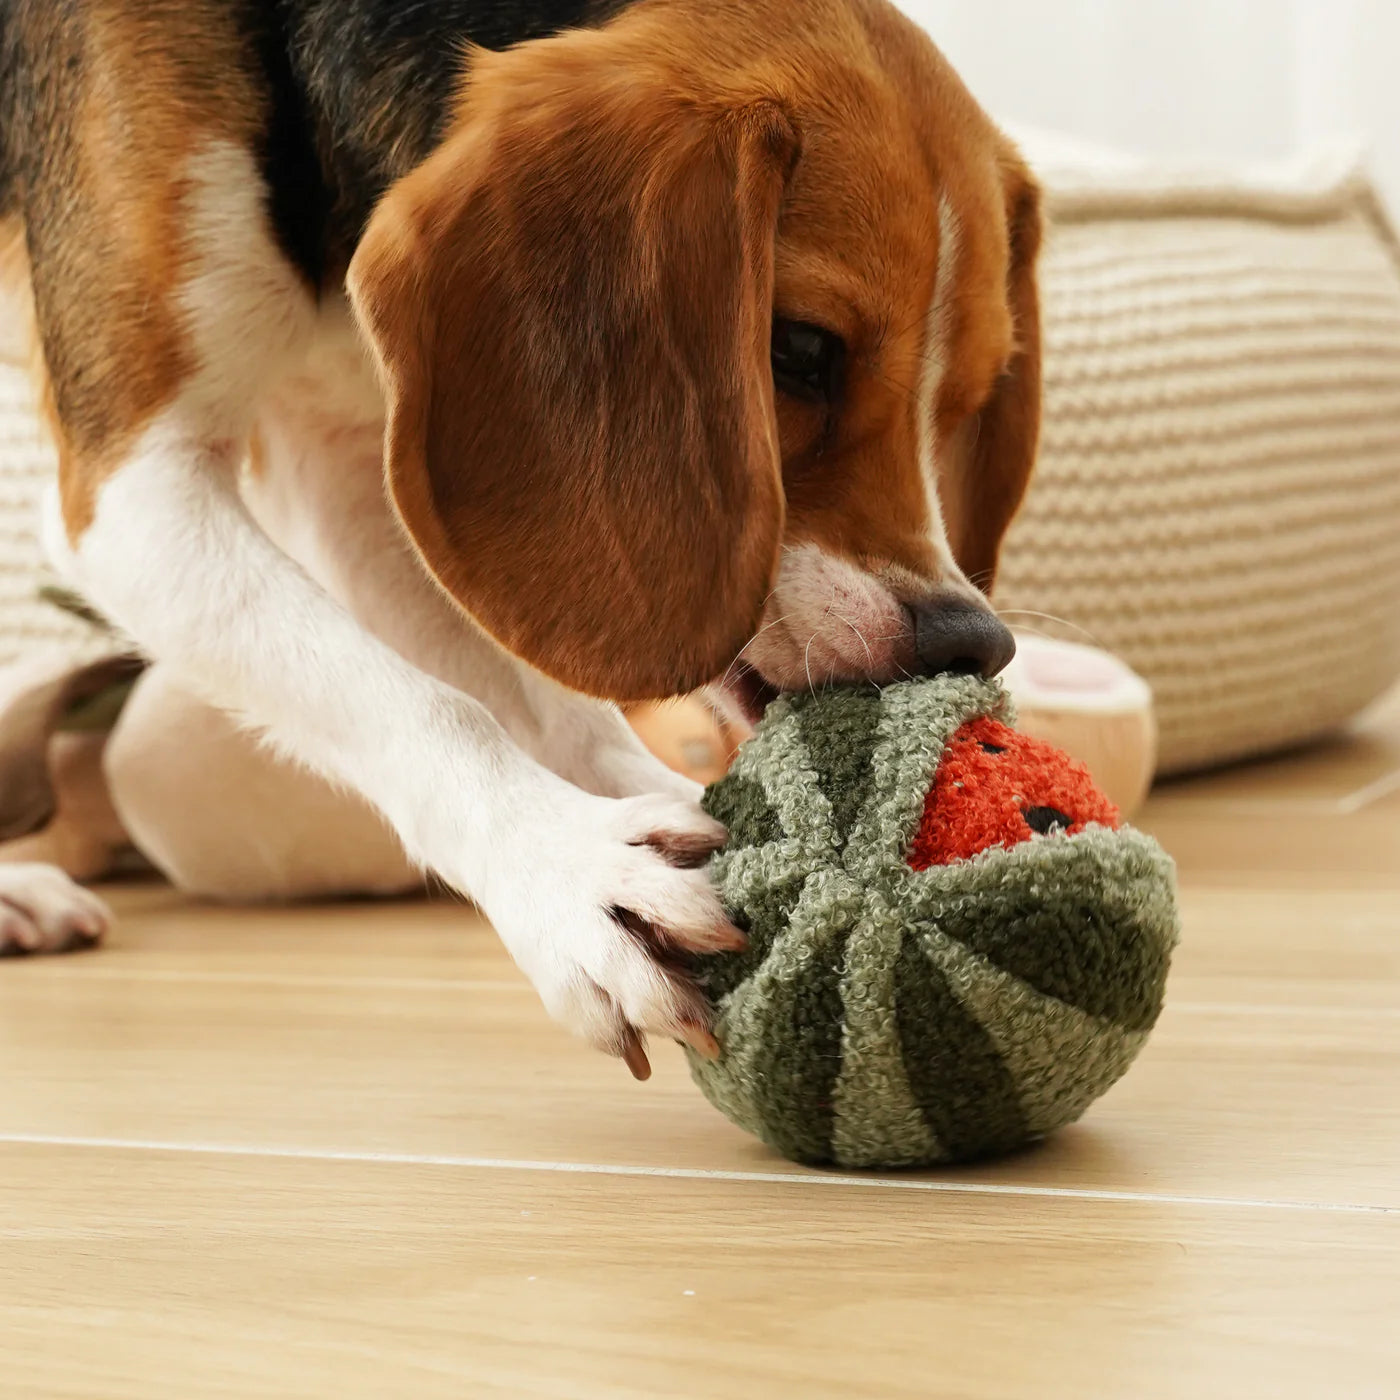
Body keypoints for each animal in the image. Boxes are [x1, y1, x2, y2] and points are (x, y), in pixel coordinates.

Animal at [0, 0, 1041, 1080]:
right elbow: (424, 702)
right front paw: (572, 874)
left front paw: (649, 814)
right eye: (797, 350)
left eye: (969, 396)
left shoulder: (353, 471)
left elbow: (547, 709)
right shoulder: (135, 491)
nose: (966, 641)